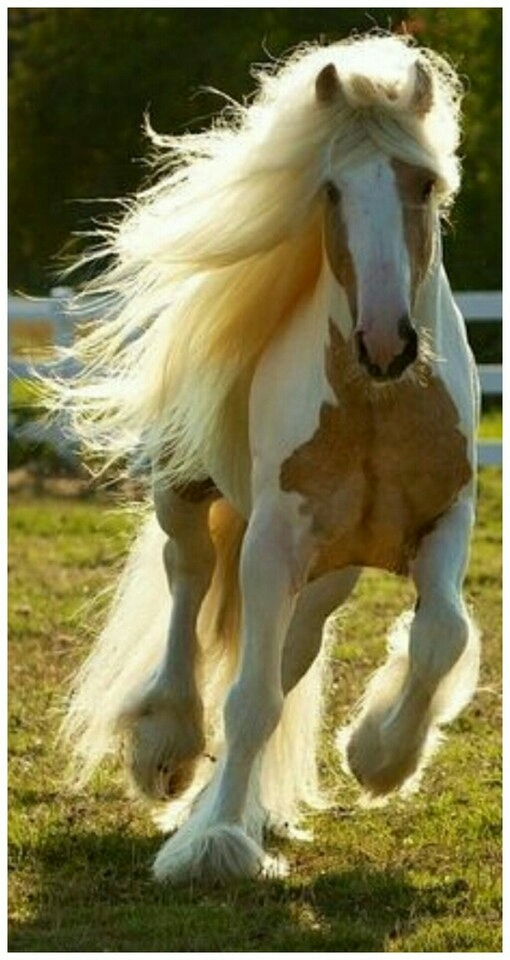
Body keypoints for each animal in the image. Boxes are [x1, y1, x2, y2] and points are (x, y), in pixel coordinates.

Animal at [52, 34, 481, 884]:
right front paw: (213, 842)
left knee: (291, 651)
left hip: (328, 571)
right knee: (187, 581)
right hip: (188, 495)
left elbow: (441, 635)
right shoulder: (275, 537)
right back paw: (168, 749)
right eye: (331, 189)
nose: (385, 343)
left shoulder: (447, 518)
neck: (378, 406)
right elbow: (249, 699)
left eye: (422, 183)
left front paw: (378, 756)